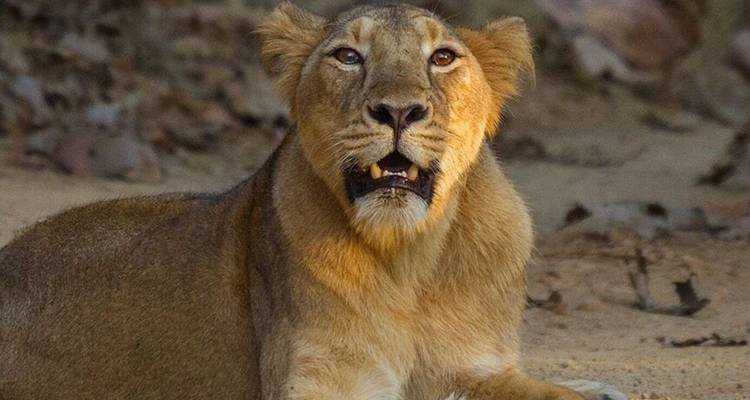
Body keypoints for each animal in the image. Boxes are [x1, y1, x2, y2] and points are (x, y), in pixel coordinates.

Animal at [0, 3, 613, 400]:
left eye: (442, 57)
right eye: (348, 56)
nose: (397, 110)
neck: (410, 258)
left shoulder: (475, 367)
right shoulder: (321, 379)